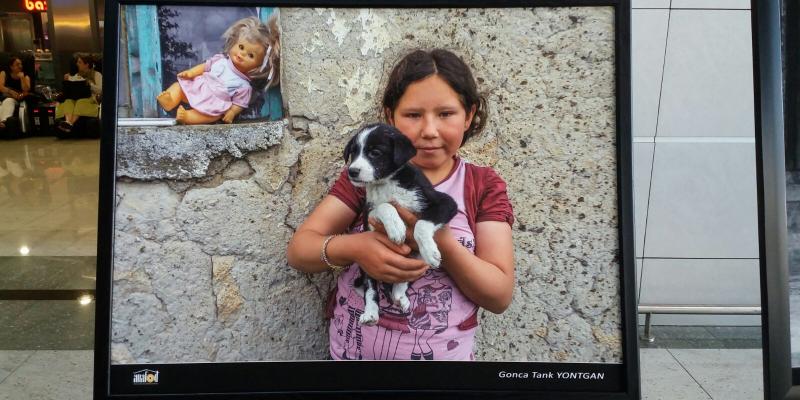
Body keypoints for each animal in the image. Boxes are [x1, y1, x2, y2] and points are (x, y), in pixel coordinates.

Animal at [342, 122, 456, 324]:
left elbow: (421, 224)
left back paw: (400, 296)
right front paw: (396, 227)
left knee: (402, 281)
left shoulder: (446, 203)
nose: (352, 171)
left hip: (415, 263)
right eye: (353, 153)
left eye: (375, 152)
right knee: (371, 288)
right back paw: (371, 313)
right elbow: (385, 205)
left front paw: (430, 251)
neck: (387, 182)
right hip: (367, 264)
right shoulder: (369, 215)